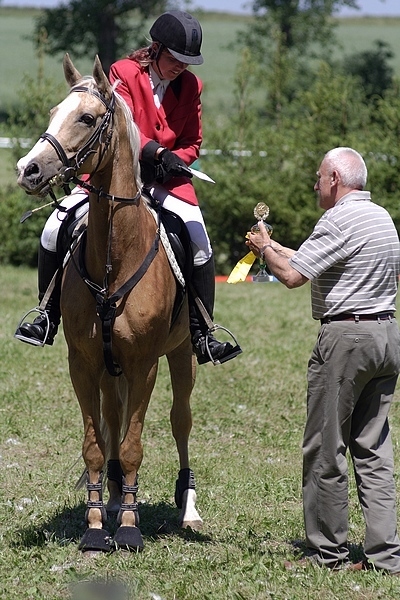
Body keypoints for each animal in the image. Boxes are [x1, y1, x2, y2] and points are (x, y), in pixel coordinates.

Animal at [15, 55, 203, 552]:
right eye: (53, 112)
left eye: (86, 118)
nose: (28, 169)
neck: (116, 257)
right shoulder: (82, 363)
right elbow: (96, 445)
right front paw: (98, 525)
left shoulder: (145, 365)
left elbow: (135, 444)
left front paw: (131, 527)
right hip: (107, 367)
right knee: (113, 421)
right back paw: (116, 498)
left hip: (180, 355)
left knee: (180, 421)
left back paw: (187, 507)